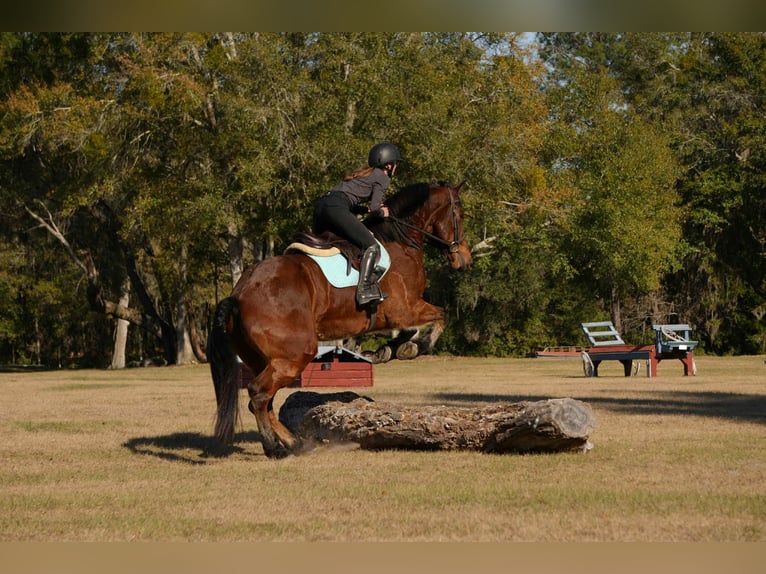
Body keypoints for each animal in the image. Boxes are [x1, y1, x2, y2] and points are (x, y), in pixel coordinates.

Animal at [208, 181, 472, 458]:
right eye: (460, 215)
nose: (464, 260)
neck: (400, 243)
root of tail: (239, 293)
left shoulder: (400, 313)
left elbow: (411, 329)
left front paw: (389, 350)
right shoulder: (404, 309)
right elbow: (440, 315)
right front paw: (413, 348)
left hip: (262, 359)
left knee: (263, 400)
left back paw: (294, 443)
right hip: (295, 355)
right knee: (258, 394)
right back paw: (274, 447)